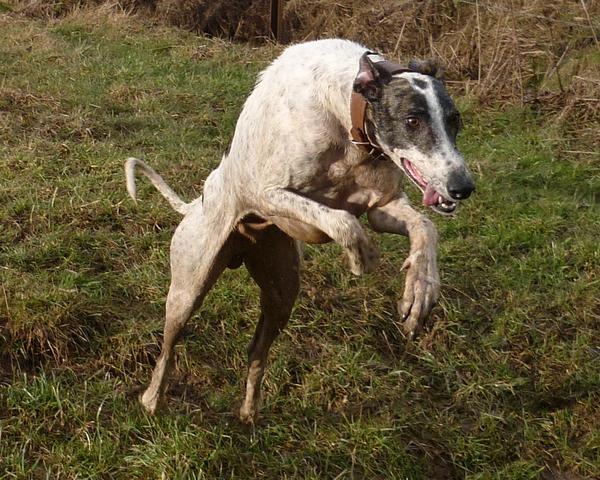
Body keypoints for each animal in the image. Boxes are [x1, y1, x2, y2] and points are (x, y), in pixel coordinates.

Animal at [125, 39, 474, 422]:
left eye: (455, 121)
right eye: (412, 120)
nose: (463, 187)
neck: (344, 115)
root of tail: (196, 204)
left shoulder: (381, 207)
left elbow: (425, 226)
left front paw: (421, 288)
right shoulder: (268, 194)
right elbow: (344, 221)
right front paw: (363, 255)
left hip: (281, 295)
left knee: (256, 352)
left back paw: (249, 412)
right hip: (188, 289)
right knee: (169, 346)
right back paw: (152, 399)